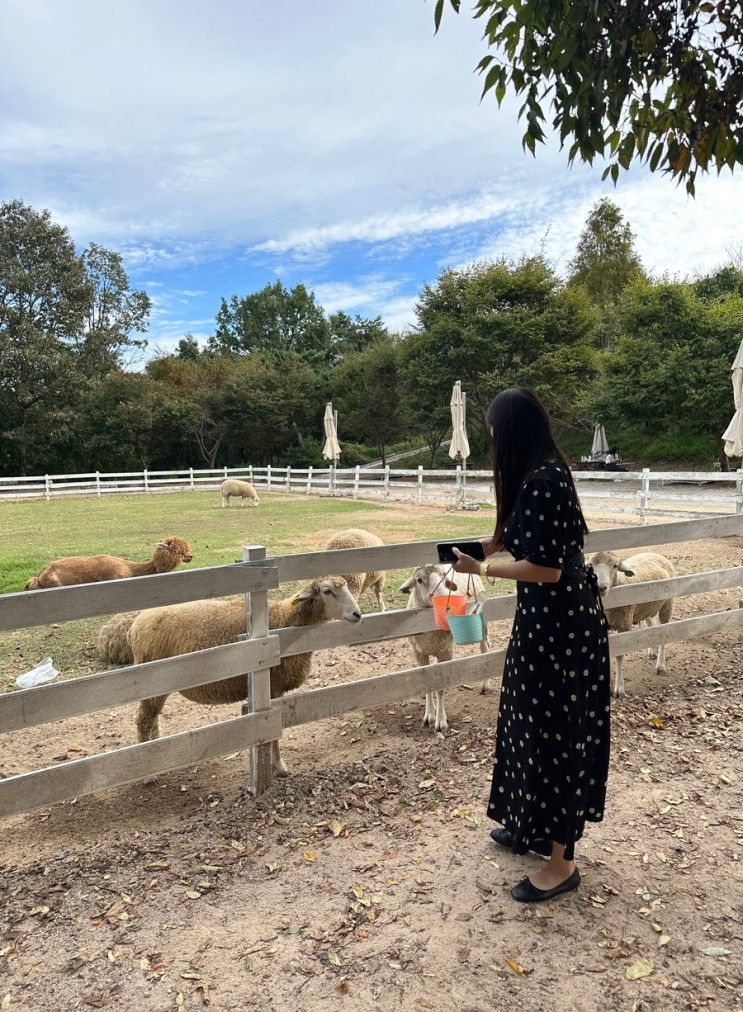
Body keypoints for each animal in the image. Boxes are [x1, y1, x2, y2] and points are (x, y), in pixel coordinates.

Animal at [130, 578, 364, 773]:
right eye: (327, 591)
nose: (358, 614)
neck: (285, 619)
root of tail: (134, 627)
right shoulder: (273, 687)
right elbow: (274, 731)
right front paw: (279, 766)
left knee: (152, 718)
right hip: (152, 679)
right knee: (144, 720)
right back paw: (148, 773)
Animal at [398, 566, 491, 732]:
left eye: (443, 576)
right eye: (419, 580)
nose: (446, 598)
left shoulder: (445, 652)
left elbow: (440, 688)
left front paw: (440, 720)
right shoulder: (419, 653)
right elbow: (428, 684)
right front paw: (429, 715)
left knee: (483, 648)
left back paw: (485, 684)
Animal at [591, 550, 676, 700]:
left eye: (615, 566)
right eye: (590, 566)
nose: (601, 587)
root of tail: (655, 554)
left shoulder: (624, 626)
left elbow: (619, 656)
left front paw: (619, 688)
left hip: (667, 603)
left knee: (663, 633)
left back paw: (660, 665)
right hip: (646, 607)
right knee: (651, 626)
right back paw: (652, 651)